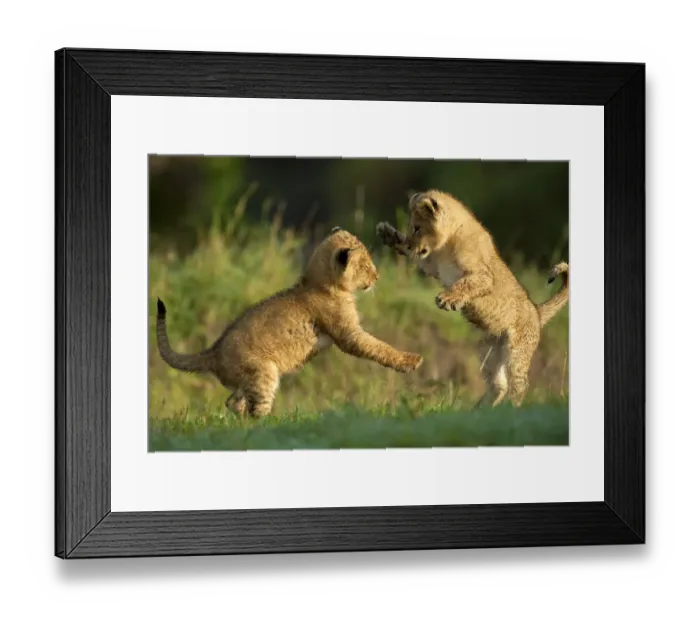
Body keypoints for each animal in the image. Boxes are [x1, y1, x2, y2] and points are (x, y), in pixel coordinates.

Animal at [156, 227, 423, 416]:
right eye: (366, 264)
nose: (377, 276)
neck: (319, 281)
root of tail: (213, 350)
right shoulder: (349, 336)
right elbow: (379, 347)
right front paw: (411, 361)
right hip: (264, 372)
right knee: (254, 409)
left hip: (247, 381)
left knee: (233, 403)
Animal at [377, 190, 568, 407]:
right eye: (411, 227)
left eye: (417, 228)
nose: (410, 244)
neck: (447, 243)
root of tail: (537, 311)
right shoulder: (432, 265)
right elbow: (417, 257)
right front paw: (388, 234)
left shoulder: (483, 276)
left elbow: (464, 284)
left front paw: (446, 299)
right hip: (490, 352)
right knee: (498, 386)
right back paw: (480, 410)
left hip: (516, 351)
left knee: (520, 384)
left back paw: (510, 408)